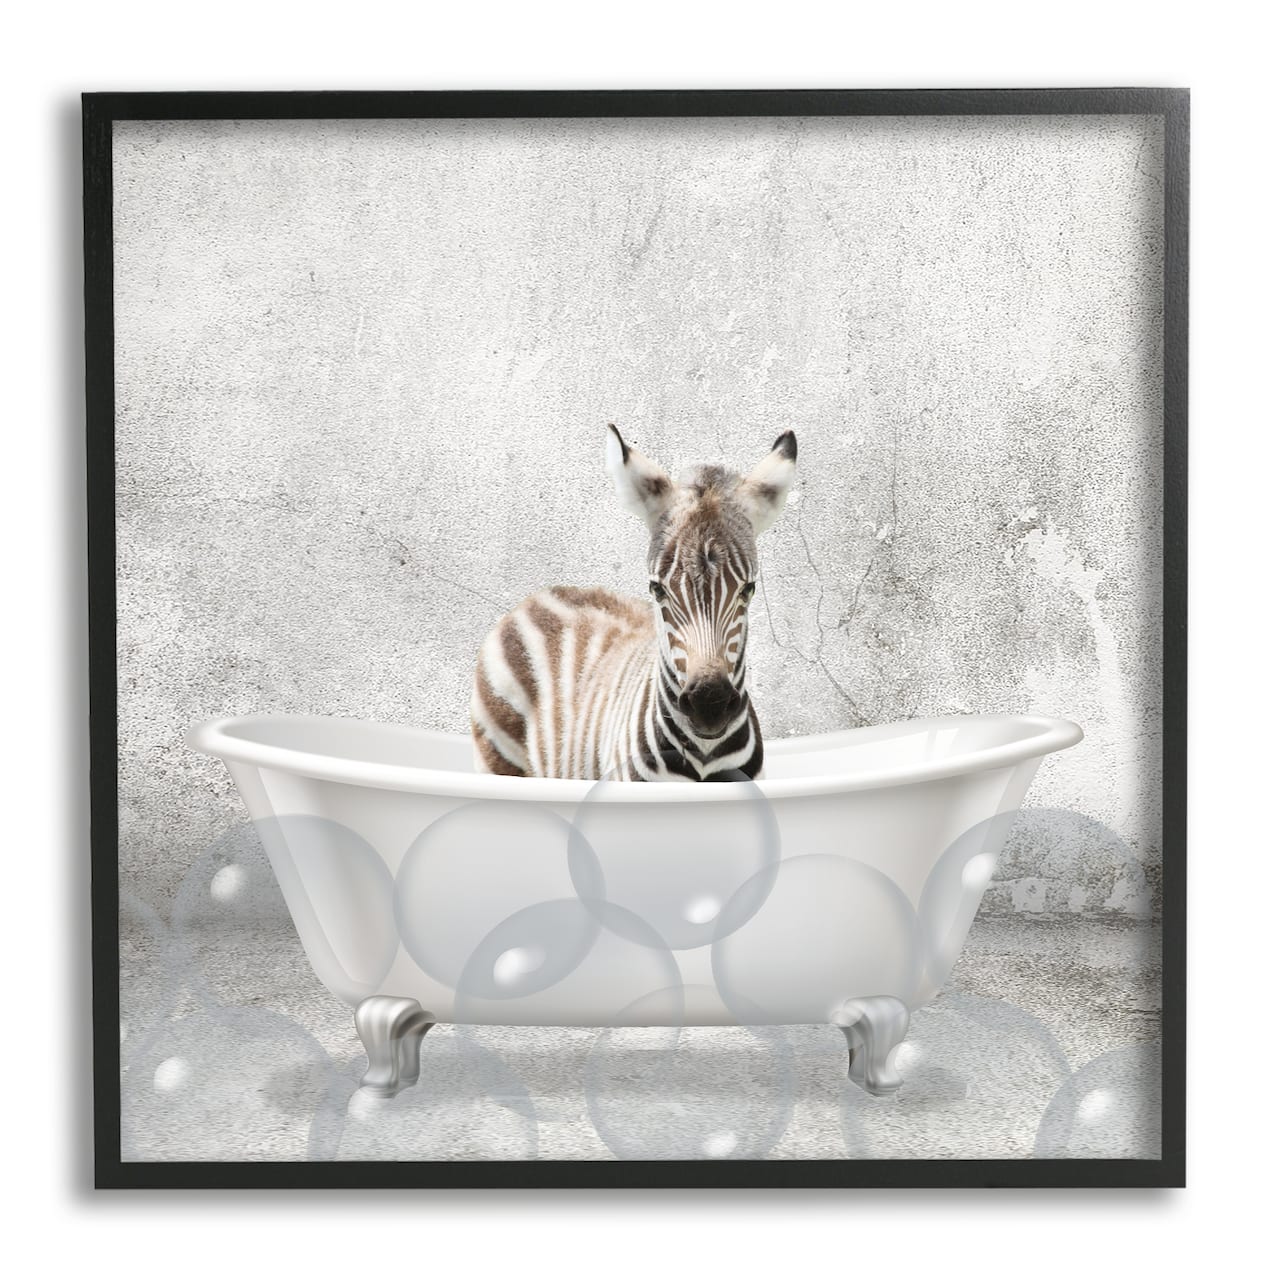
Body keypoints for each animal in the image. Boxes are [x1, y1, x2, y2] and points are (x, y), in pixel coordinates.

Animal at [470, 424, 797, 781]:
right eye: (657, 589)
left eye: (748, 589)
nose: (709, 705)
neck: (704, 756)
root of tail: (539, 594)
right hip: (499, 755)